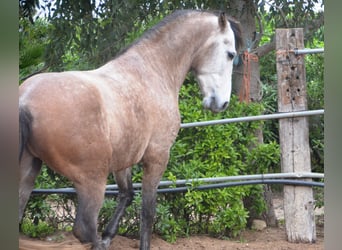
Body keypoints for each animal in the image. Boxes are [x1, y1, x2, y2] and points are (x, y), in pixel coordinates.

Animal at [19, 9, 243, 250]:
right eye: (231, 54)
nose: (222, 103)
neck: (153, 70)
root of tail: (25, 100)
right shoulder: (157, 157)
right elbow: (148, 210)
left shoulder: (124, 160)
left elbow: (127, 194)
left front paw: (109, 235)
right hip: (92, 180)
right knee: (85, 228)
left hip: (29, 172)